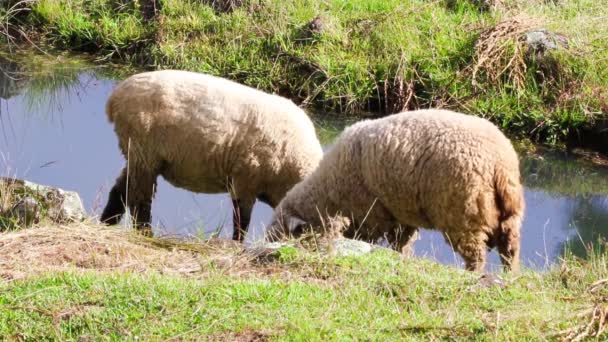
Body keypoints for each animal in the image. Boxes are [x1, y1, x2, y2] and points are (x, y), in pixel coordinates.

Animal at [100, 69, 326, 240]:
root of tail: (114, 99)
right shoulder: (245, 181)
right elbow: (242, 222)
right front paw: (237, 244)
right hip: (144, 152)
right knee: (139, 200)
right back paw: (145, 234)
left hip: (137, 155)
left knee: (120, 190)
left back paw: (106, 223)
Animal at [268, 109, 528, 272]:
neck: (328, 191)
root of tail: (499, 163)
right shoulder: (400, 214)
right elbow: (401, 243)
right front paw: (401, 259)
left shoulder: (370, 215)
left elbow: (369, 239)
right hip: (508, 217)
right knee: (510, 249)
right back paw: (510, 276)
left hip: (464, 214)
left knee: (476, 256)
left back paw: (473, 275)